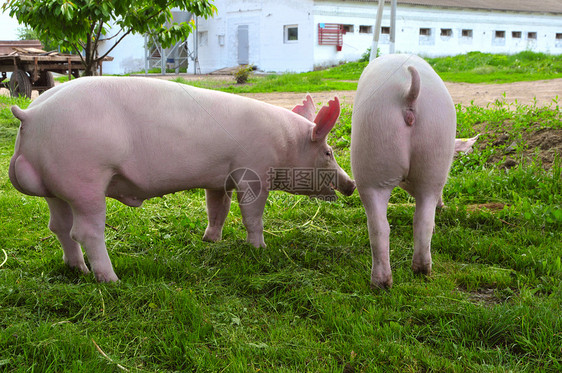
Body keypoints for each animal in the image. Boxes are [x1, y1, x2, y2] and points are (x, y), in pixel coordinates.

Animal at [8, 78, 352, 282]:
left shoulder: (219, 178)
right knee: (85, 232)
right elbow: (252, 216)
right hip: (86, 180)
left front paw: (211, 240)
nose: (350, 185)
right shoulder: (252, 172)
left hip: (55, 188)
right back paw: (111, 279)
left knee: (59, 227)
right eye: (328, 153)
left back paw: (76, 269)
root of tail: (31, 115)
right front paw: (259, 249)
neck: (285, 144)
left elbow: (218, 209)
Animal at [350, 54, 460, 288]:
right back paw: (421, 271)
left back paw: (380, 284)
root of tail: (409, 93)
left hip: (372, 154)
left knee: (379, 226)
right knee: (422, 220)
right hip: (434, 155)